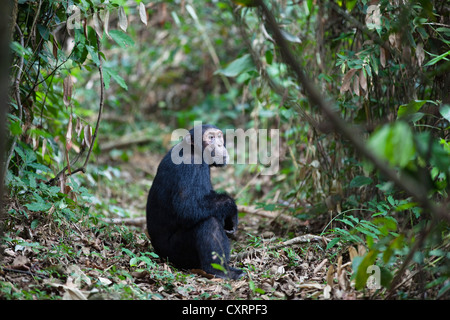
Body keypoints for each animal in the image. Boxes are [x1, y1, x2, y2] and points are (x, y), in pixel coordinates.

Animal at [146, 124, 244, 278]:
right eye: (211, 137)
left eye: (219, 136)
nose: (219, 144)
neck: (195, 151)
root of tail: (159, 254)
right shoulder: (190, 166)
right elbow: (188, 207)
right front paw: (232, 209)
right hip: (177, 253)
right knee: (208, 223)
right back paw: (220, 270)